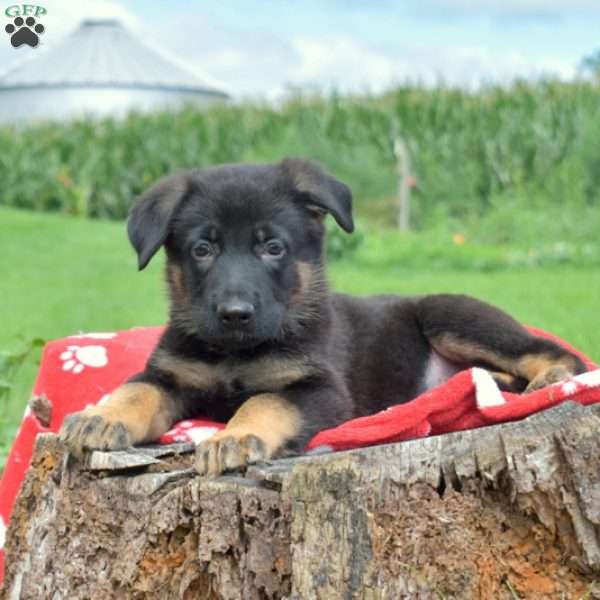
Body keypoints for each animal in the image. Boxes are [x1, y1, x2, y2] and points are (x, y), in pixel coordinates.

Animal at [59, 158, 584, 474]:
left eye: (273, 248)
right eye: (203, 249)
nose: (235, 314)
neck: (235, 353)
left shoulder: (320, 389)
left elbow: (265, 402)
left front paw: (236, 436)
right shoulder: (170, 373)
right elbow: (135, 389)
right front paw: (100, 417)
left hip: (449, 315)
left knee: (553, 351)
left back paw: (549, 380)